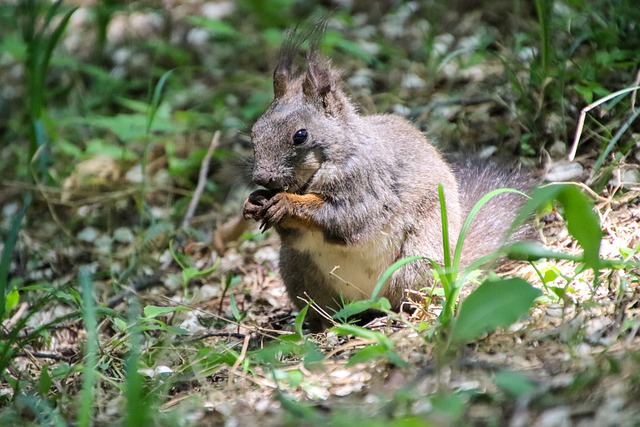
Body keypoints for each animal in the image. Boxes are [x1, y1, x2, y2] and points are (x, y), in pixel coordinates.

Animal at [242, 26, 532, 332]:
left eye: (300, 135)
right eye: (255, 131)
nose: (262, 177)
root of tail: (367, 298)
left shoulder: (369, 184)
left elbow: (344, 218)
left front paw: (285, 203)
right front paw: (254, 202)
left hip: (418, 261)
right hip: (299, 272)